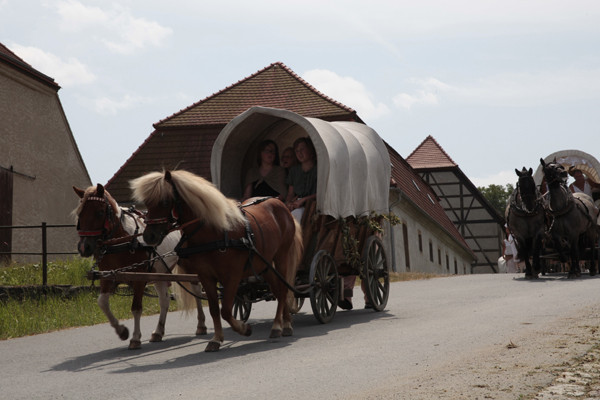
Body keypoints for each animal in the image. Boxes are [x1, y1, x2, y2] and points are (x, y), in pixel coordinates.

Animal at [73, 183, 207, 349]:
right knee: (164, 300)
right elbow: (102, 303)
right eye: (80, 213)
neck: (123, 240)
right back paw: (158, 332)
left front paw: (135, 338)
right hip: (159, 274)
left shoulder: (139, 279)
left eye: (99, 212)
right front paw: (122, 331)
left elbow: (136, 308)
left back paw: (201, 325)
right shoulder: (108, 277)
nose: (84, 247)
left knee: (196, 291)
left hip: (189, 268)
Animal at [130, 169, 303, 352]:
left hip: (282, 257)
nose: (149, 236)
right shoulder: (206, 277)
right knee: (277, 290)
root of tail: (279, 203)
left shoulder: (232, 276)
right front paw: (216, 339)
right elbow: (214, 309)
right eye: (147, 203)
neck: (214, 233)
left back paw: (280, 326)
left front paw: (244, 328)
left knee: (283, 290)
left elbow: (226, 310)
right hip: (264, 264)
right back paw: (285, 322)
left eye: (164, 202)